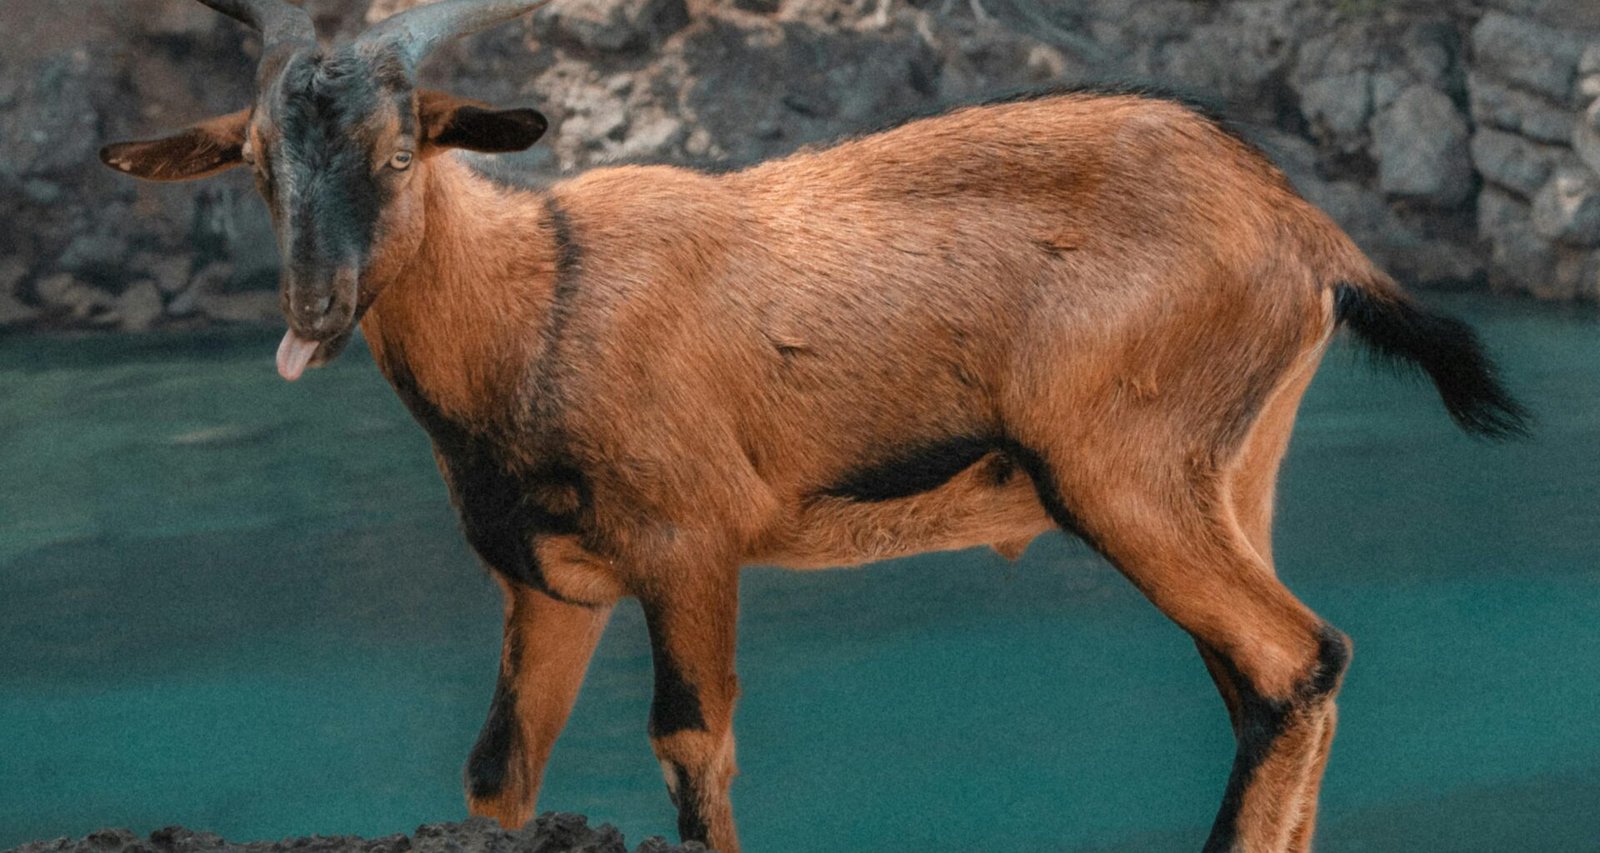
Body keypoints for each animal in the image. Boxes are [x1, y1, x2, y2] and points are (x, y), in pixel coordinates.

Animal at [101, 1, 1528, 850]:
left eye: (401, 154)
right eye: (259, 163)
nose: (315, 309)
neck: (536, 304)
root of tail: (1304, 228)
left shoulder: (690, 541)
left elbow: (693, 742)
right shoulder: (548, 584)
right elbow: (499, 771)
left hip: (1122, 466)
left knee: (1294, 658)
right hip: (1236, 467)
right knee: (1273, 680)